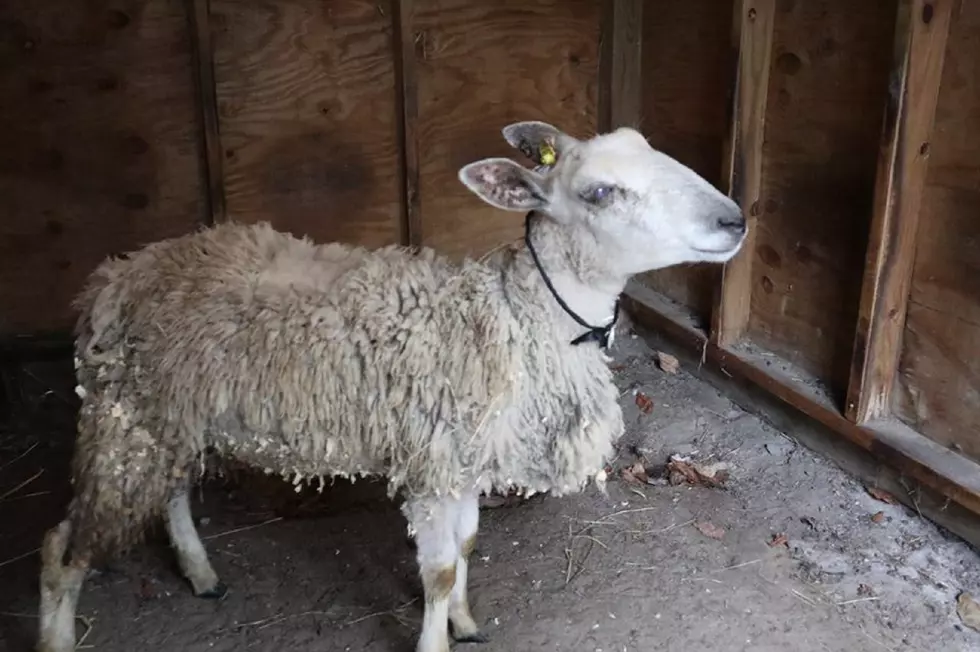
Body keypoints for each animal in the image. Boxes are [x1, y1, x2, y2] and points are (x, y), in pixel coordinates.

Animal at [34, 121, 748, 652]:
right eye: (600, 193)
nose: (734, 221)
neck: (516, 316)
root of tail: (115, 275)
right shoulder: (433, 464)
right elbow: (438, 570)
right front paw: (438, 634)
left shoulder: (460, 463)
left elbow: (466, 548)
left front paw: (465, 622)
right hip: (124, 416)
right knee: (63, 547)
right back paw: (61, 631)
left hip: (171, 412)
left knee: (174, 490)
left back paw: (201, 572)